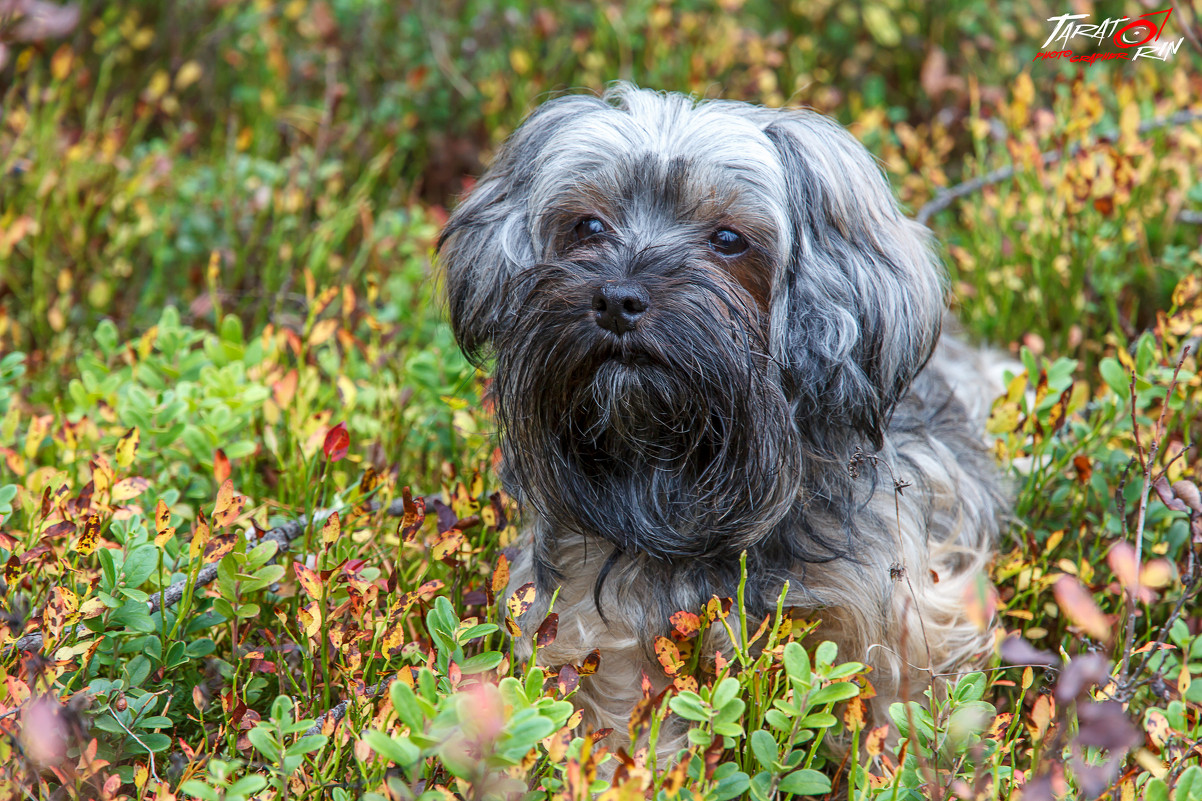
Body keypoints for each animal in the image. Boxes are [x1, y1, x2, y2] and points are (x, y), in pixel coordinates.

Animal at [437, 84, 1000, 745]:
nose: (618, 299)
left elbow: (892, 701)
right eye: (588, 225)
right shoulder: (593, 628)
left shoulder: (887, 609)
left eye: (729, 240)